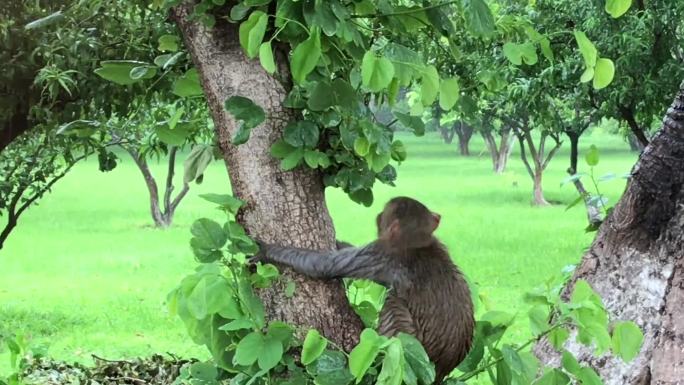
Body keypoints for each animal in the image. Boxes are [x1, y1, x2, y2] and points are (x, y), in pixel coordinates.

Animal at [256, 196, 476, 382]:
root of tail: (441, 371)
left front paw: (267, 251)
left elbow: (322, 265)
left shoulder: (381, 254)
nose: (378, 215)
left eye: (384, 213)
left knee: (393, 303)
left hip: (411, 349)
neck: (419, 244)